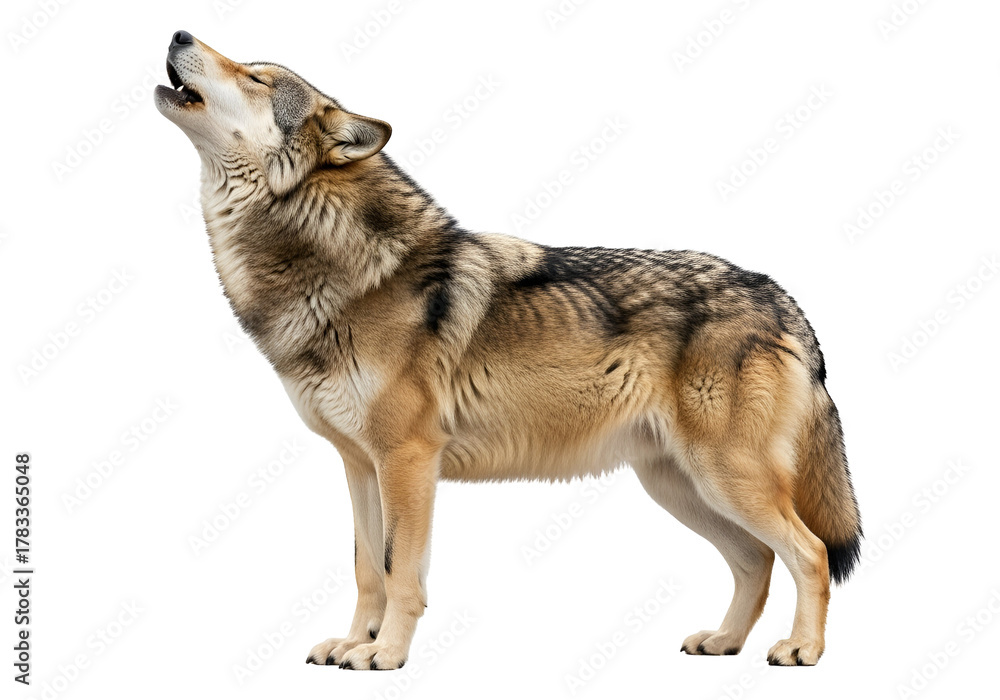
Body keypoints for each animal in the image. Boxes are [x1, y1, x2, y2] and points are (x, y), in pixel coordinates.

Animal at [155, 30, 862, 670]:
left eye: (255, 77)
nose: (179, 32)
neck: (344, 267)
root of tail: (778, 296)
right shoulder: (359, 465)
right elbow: (366, 569)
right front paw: (354, 643)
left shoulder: (407, 460)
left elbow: (400, 571)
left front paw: (385, 655)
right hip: (681, 487)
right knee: (757, 560)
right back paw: (724, 642)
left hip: (725, 480)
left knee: (810, 553)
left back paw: (802, 649)